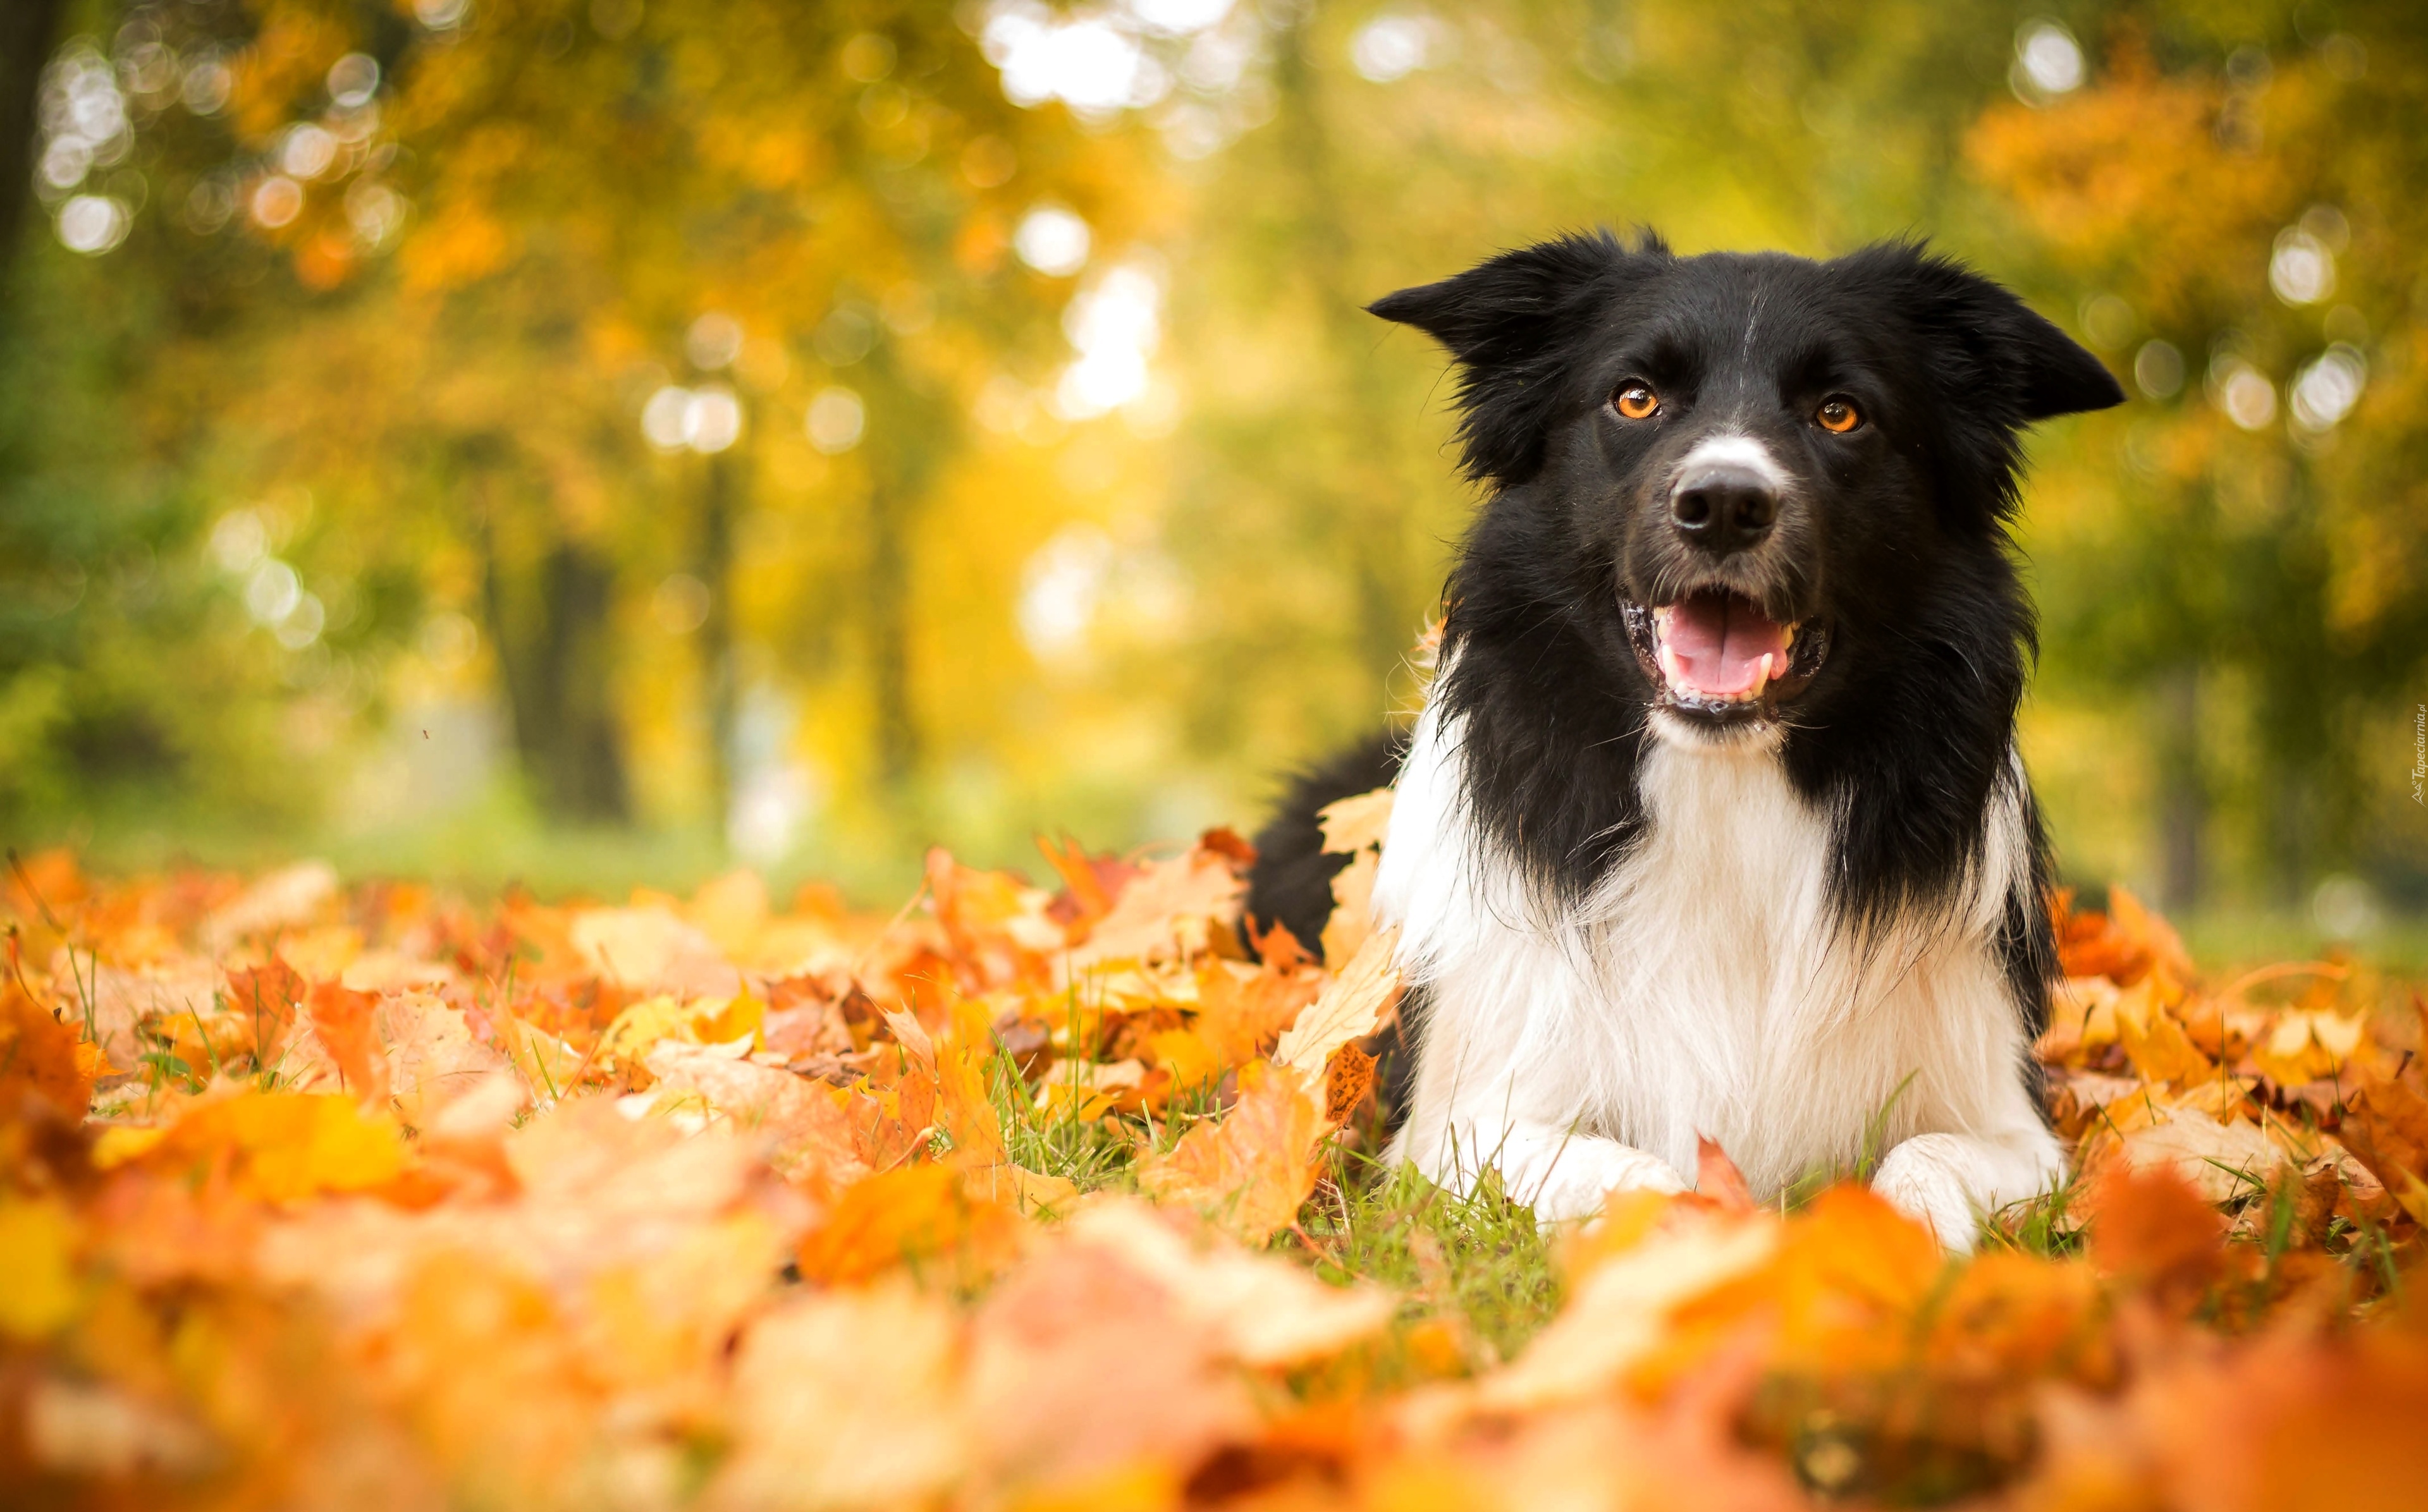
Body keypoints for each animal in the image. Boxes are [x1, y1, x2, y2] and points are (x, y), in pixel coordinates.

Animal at [1253, 234, 2126, 1252]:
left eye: (1841, 411)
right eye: (1636, 398)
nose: (1724, 504)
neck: (1727, 787)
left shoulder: (2011, 1120)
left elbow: (1925, 1157)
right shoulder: (1453, 1124)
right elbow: (1641, 1176)